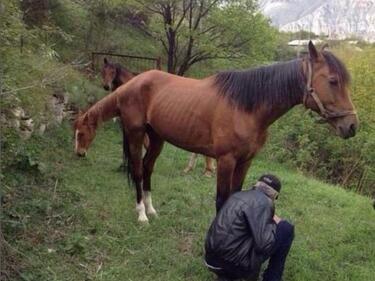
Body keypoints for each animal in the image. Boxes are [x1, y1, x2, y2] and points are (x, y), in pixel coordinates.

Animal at [75, 41, 360, 221]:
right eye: (333, 81)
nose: (352, 126)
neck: (246, 106)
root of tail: (133, 84)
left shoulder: (245, 161)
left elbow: (234, 195)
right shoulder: (226, 161)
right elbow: (221, 200)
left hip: (156, 138)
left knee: (147, 169)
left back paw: (151, 209)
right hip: (136, 135)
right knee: (136, 169)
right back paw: (142, 214)